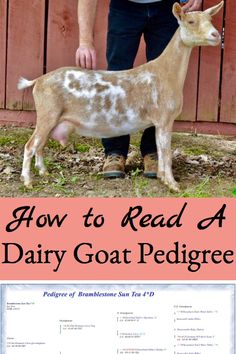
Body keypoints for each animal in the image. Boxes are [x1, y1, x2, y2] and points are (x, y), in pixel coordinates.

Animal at [18, 2, 223, 191]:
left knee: (40, 145)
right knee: (30, 145)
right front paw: (173, 185)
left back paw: (43, 171)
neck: (166, 72)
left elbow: (161, 150)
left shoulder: (159, 122)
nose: (216, 35)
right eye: (191, 21)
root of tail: (38, 81)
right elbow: (166, 153)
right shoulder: (164, 119)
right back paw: (28, 181)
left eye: (210, 19)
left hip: (52, 118)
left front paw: (162, 178)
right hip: (48, 114)